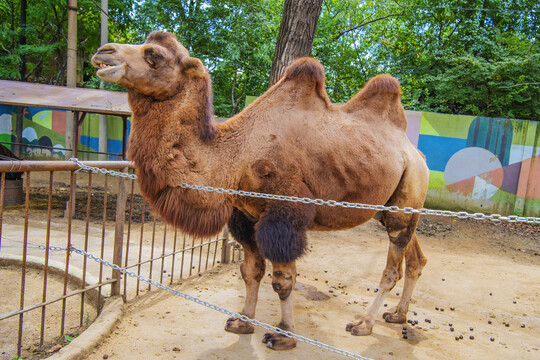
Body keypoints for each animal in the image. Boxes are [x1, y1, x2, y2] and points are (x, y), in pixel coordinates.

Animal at [93, 32, 430, 350]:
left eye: (154, 55)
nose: (103, 51)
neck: (236, 155)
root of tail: (416, 153)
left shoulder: (284, 214)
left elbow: (283, 281)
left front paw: (284, 335)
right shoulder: (245, 215)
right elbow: (250, 271)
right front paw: (243, 322)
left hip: (408, 192)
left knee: (393, 266)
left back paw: (364, 323)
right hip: (392, 207)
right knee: (415, 257)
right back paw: (397, 314)